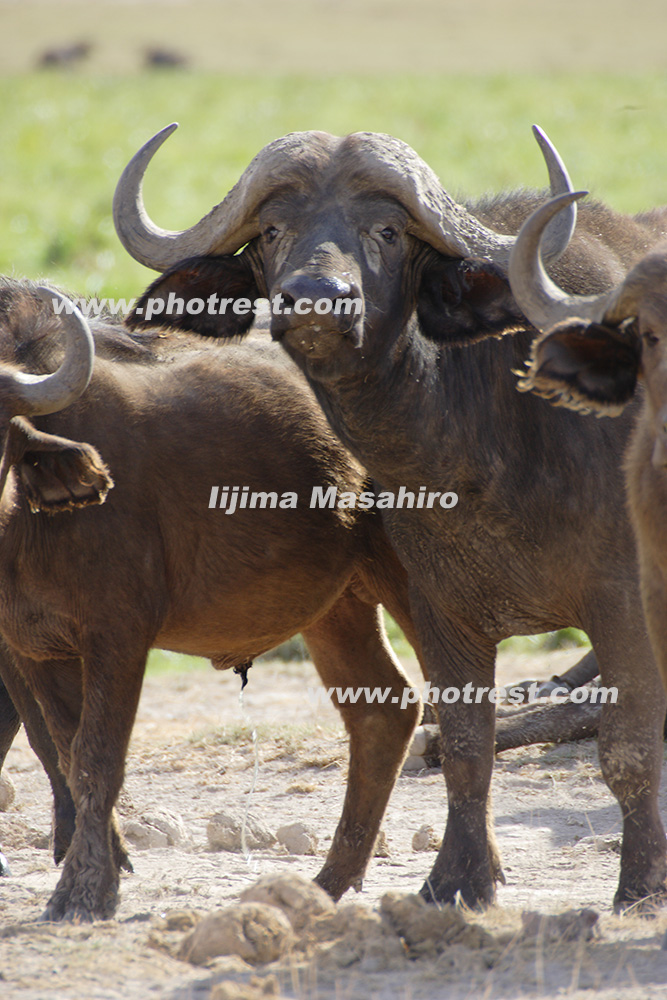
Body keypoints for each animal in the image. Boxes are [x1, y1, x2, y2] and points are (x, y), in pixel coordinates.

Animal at [0, 282, 428, 920]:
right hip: (338, 602)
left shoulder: (118, 636)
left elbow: (97, 757)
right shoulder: (35, 649)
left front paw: (85, 888)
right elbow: (64, 755)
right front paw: (99, 872)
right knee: (383, 708)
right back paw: (331, 880)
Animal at [112, 123, 667, 908]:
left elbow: (626, 746)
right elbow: (465, 745)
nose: (317, 298)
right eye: (273, 230)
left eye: (386, 230)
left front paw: (641, 883)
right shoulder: (439, 608)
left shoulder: (622, 604)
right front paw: (456, 880)